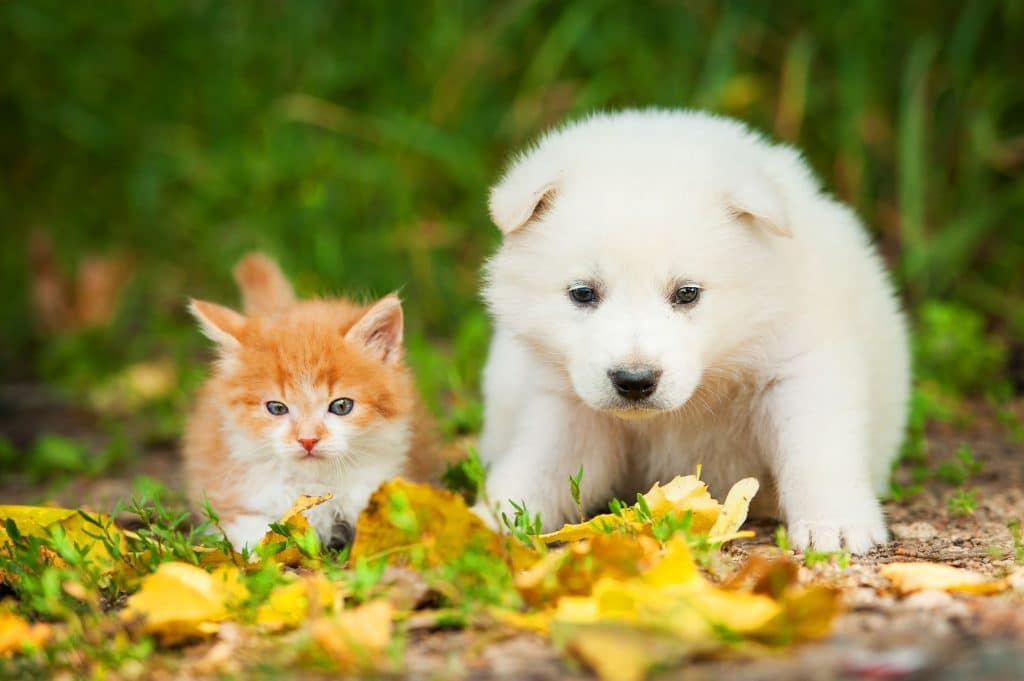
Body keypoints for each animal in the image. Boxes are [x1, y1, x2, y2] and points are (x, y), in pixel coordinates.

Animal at [184, 251, 440, 548]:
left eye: (341, 406)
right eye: (276, 408)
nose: (307, 440)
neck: (316, 484)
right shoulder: (230, 498)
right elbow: (257, 538)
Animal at [475, 107, 909, 552]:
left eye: (687, 293)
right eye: (582, 293)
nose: (634, 381)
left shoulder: (800, 367)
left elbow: (817, 448)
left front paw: (836, 525)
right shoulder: (567, 403)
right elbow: (540, 464)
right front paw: (489, 522)